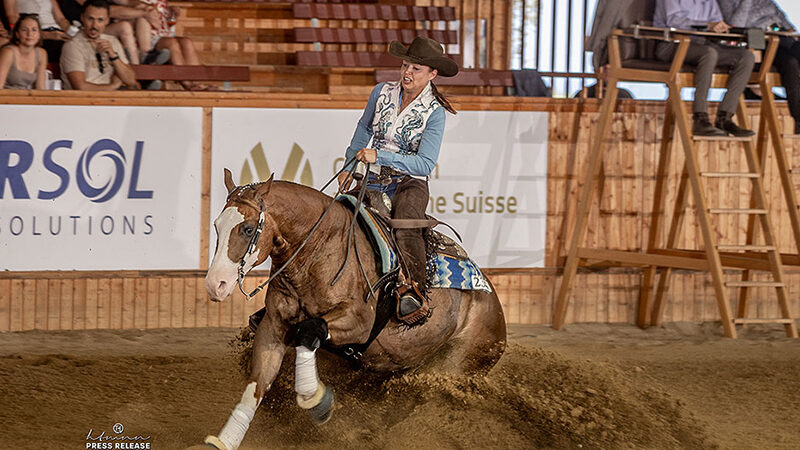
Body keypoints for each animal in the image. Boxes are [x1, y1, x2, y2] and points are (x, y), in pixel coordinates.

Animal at [198, 170, 504, 450]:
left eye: (248, 229)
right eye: (216, 225)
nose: (215, 284)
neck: (318, 250)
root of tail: (497, 311)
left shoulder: (359, 322)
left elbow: (308, 330)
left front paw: (318, 401)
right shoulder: (273, 325)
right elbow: (256, 385)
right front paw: (223, 441)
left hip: (455, 367)